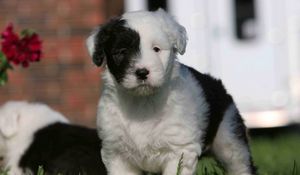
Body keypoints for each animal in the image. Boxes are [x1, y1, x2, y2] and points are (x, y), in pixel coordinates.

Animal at [86, 9, 255, 175]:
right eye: (121, 52)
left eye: (156, 49)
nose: (142, 72)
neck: (143, 102)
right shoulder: (117, 152)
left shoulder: (180, 151)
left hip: (229, 135)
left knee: (240, 164)